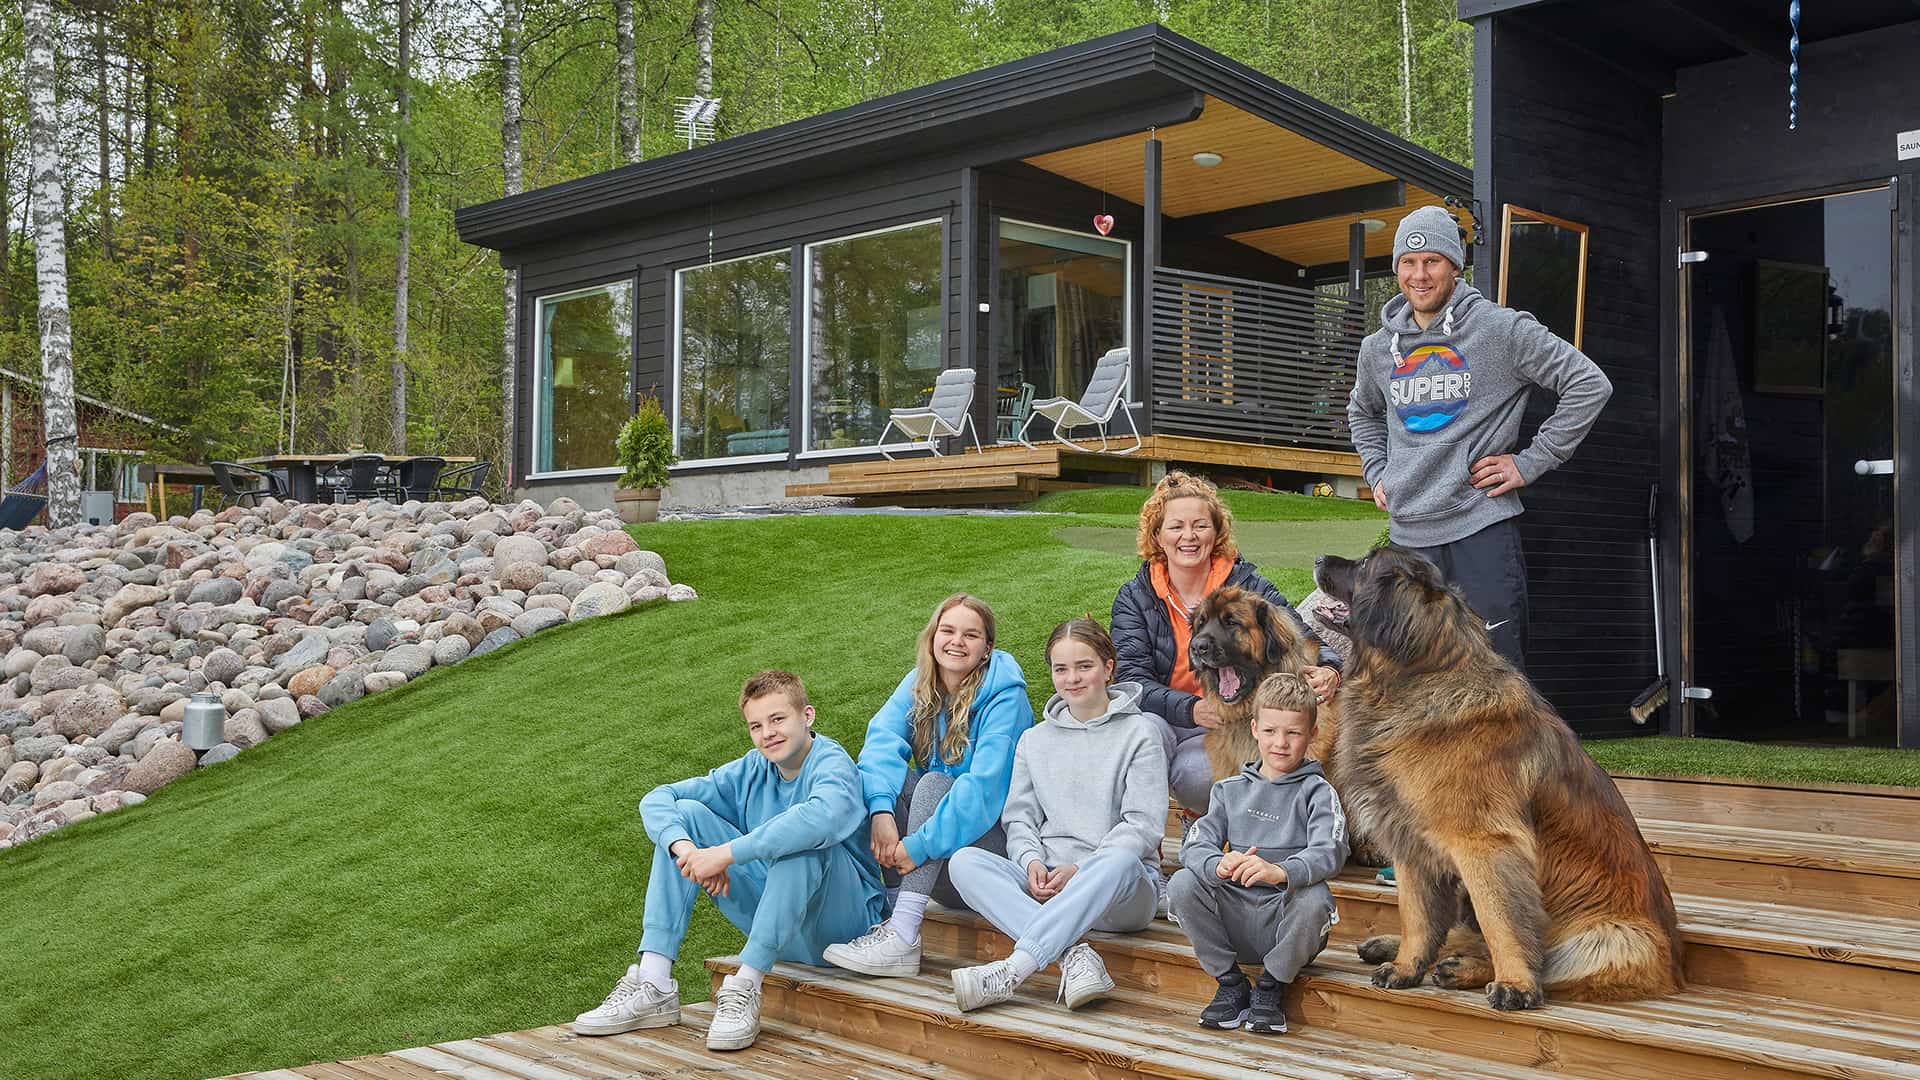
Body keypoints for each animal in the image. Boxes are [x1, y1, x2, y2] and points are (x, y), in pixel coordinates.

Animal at [1320, 549, 1681, 1006]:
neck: (1418, 677)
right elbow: (1416, 916)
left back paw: (1466, 970)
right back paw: (1397, 948)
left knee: (1548, 960)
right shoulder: (1410, 840)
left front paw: (1515, 985)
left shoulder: (1484, 844)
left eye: (1364, 565)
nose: (1319, 558)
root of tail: (1677, 970)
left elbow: (1502, 922)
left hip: (1612, 938)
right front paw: (1405, 967)